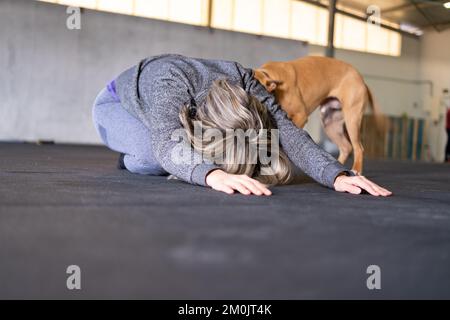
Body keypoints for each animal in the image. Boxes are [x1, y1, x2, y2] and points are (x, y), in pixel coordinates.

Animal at [253, 56, 384, 174]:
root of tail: (361, 80)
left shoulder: (300, 116)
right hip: (330, 124)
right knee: (346, 147)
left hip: (352, 121)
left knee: (358, 148)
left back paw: (356, 170)